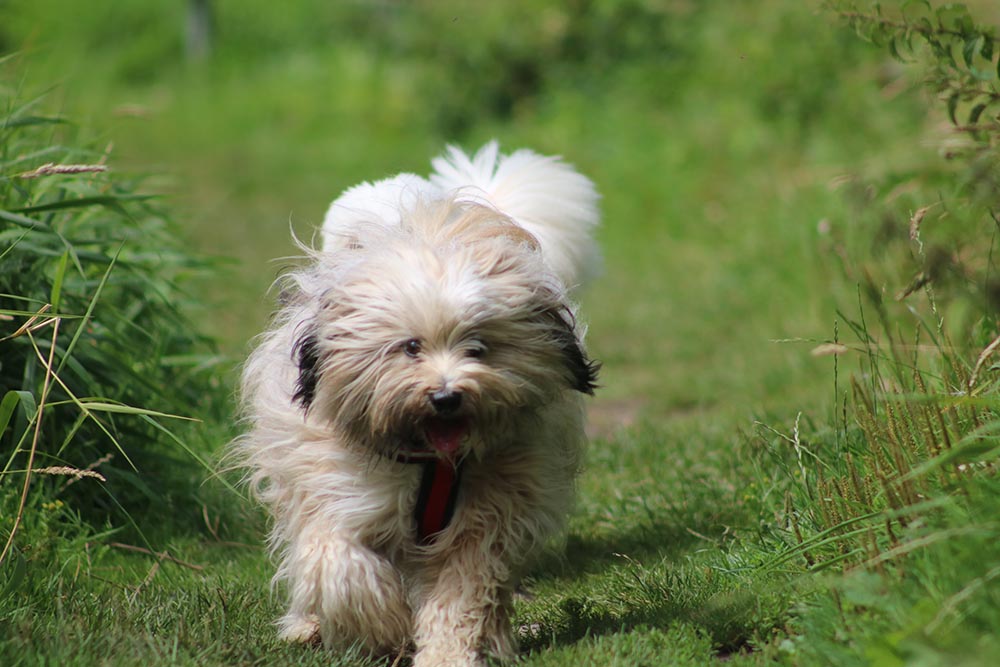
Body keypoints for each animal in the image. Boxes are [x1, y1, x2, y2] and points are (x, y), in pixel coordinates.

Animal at [240, 142, 600, 667]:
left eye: (478, 347)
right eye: (410, 347)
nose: (447, 397)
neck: (431, 462)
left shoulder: (489, 515)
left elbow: (463, 590)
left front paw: (447, 651)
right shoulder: (336, 487)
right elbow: (340, 564)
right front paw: (386, 627)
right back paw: (308, 626)